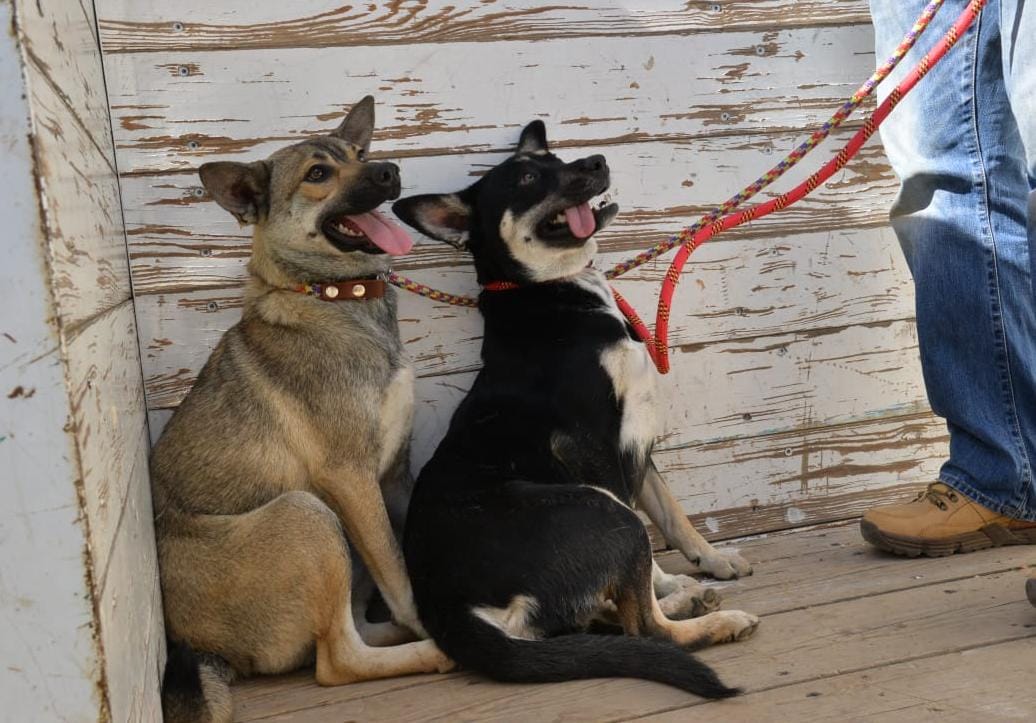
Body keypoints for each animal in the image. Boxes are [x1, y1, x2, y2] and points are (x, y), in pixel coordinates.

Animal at [151, 95, 451, 720]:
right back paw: (434, 650)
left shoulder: (394, 473)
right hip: (308, 515)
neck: (335, 299)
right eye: (317, 174)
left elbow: (404, 554)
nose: (389, 172)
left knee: (353, 626)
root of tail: (191, 646)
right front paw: (432, 623)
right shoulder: (351, 478)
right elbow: (399, 572)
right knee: (336, 661)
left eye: (358, 153)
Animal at [391, 121, 758, 696]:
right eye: (526, 177)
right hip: (598, 508)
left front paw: (711, 561)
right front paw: (669, 582)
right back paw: (712, 621)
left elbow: (671, 513)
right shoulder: (595, 447)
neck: (551, 291)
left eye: (558, 159)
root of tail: (448, 610)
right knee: (645, 629)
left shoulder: (637, 439)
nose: (597, 161)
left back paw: (689, 597)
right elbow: (646, 536)